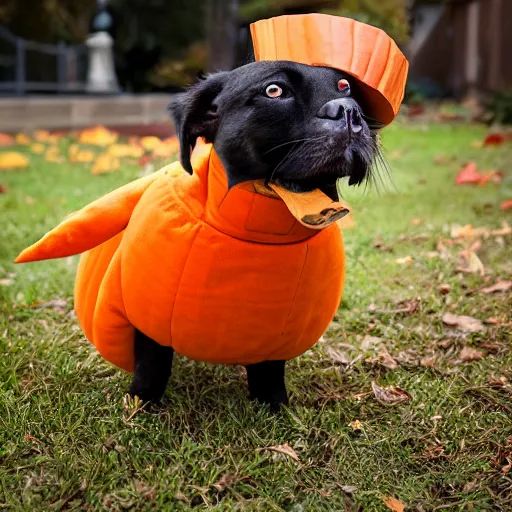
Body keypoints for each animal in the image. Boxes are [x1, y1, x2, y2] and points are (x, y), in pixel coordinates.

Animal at [128, 60, 382, 410]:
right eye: (274, 90)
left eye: (346, 87)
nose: (348, 110)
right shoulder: (147, 320)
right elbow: (151, 363)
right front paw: (140, 404)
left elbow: (269, 372)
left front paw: (274, 406)